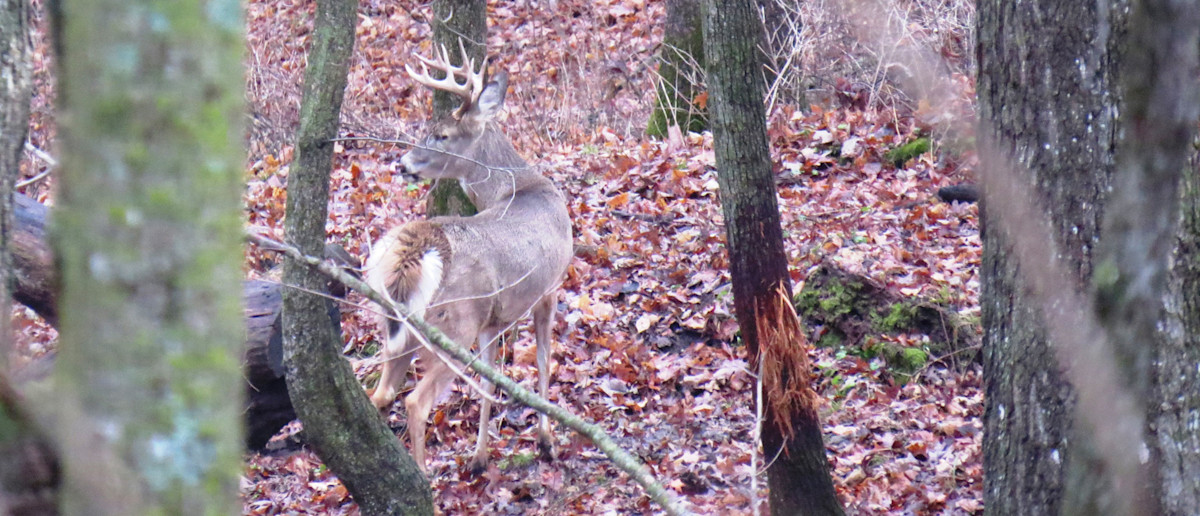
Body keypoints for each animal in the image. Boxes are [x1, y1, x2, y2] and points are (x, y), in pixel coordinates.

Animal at [364, 45, 573, 474]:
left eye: (441, 134)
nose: (402, 164)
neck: (521, 187)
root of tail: (420, 247)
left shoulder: (491, 320)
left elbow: (491, 379)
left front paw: (479, 457)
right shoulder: (550, 287)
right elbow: (544, 362)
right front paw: (546, 441)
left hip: (396, 326)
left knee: (382, 394)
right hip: (454, 325)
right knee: (416, 401)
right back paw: (423, 478)